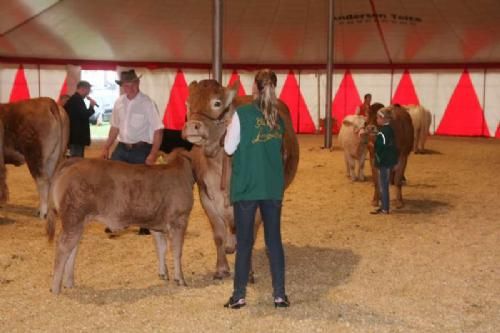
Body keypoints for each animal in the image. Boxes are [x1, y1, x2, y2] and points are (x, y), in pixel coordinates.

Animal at [46, 150, 199, 294]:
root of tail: (75, 162)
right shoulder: (179, 220)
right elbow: (177, 251)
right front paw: (180, 279)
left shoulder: (155, 225)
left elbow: (161, 248)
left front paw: (163, 274)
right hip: (73, 218)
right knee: (63, 247)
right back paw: (56, 288)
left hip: (78, 221)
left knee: (73, 248)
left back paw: (69, 283)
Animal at [182, 75, 298, 278]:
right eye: (188, 103)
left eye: (217, 103)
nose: (191, 127)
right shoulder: (206, 198)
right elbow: (218, 236)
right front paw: (221, 268)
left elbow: (249, 237)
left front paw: (248, 271)